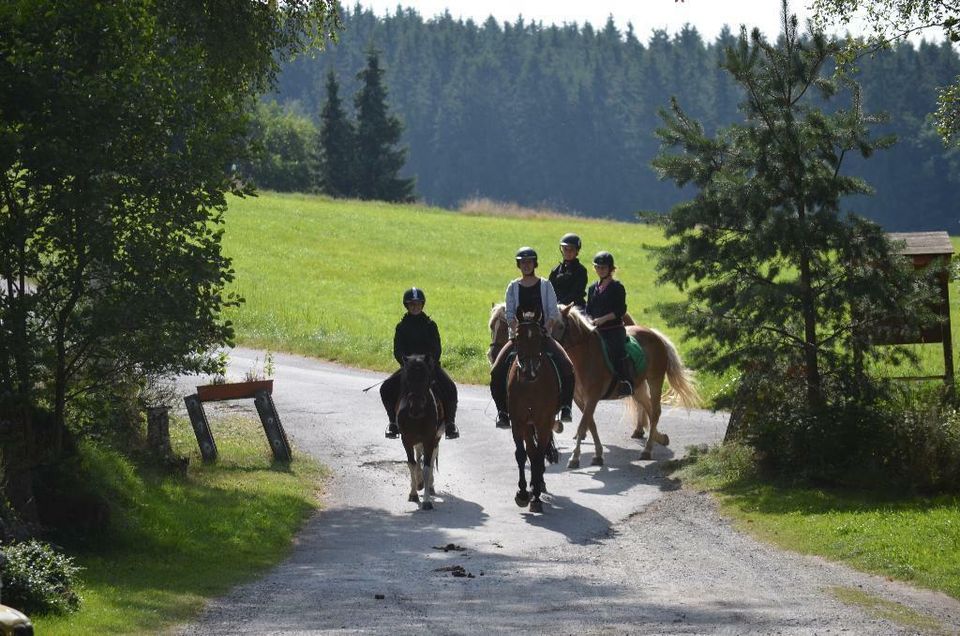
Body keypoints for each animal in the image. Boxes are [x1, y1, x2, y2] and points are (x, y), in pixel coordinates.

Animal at [396, 356, 444, 510]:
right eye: (408, 378)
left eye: (426, 377)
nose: (416, 408)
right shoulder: (406, 440)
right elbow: (411, 464)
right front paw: (413, 493)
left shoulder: (429, 439)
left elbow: (428, 467)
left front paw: (427, 501)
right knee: (418, 456)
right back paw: (419, 483)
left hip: (436, 438)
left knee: (432, 456)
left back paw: (429, 485)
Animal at [510, 316, 564, 516]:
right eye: (518, 337)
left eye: (540, 337)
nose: (530, 372)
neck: (531, 386)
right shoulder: (519, 422)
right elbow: (523, 454)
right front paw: (522, 493)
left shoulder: (543, 423)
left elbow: (539, 455)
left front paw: (536, 497)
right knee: (531, 453)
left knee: (538, 454)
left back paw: (538, 485)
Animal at [556, 306, 696, 464]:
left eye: (560, 325)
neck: (586, 356)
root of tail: (654, 334)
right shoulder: (580, 400)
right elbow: (590, 424)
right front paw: (597, 454)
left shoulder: (592, 397)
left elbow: (583, 426)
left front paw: (575, 457)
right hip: (638, 388)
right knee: (648, 409)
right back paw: (659, 438)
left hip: (655, 379)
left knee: (655, 412)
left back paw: (647, 450)